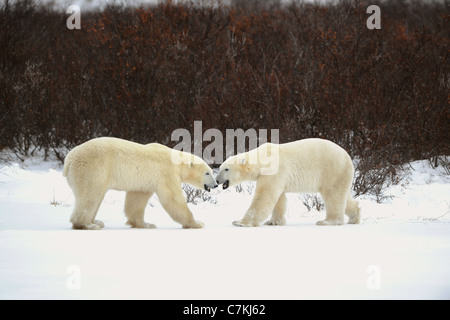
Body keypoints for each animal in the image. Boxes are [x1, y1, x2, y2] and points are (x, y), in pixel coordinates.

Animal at [63, 136, 218, 229]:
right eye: (207, 173)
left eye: (211, 171)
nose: (216, 184)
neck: (176, 161)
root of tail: (69, 160)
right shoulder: (166, 173)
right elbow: (173, 199)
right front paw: (197, 223)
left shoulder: (145, 182)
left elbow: (136, 199)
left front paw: (145, 224)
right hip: (93, 169)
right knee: (90, 195)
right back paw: (86, 224)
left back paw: (96, 222)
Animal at [216, 139, 360, 226]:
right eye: (221, 167)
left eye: (226, 169)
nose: (217, 180)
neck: (263, 158)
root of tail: (348, 156)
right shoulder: (278, 177)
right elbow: (279, 198)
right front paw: (274, 222)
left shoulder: (274, 171)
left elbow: (264, 196)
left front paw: (240, 222)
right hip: (340, 175)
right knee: (343, 196)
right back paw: (355, 217)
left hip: (332, 170)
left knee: (333, 196)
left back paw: (326, 221)